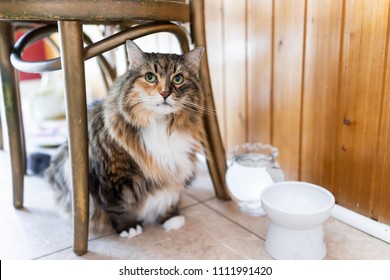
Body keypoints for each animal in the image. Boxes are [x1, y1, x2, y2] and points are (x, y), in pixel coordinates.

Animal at [45, 39, 207, 236]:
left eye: (178, 79)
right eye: (150, 77)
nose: (164, 93)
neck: (160, 124)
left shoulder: (176, 168)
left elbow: (171, 195)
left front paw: (171, 218)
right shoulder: (112, 176)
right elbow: (118, 206)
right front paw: (128, 228)